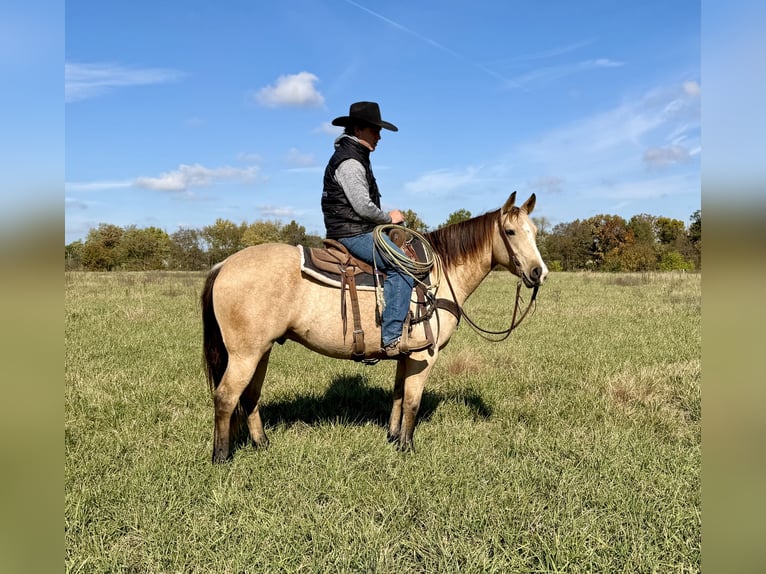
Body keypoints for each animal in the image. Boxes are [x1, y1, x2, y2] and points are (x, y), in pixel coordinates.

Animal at [201, 192, 548, 463]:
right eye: (510, 231)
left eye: (534, 231)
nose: (538, 273)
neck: (438, 275)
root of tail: (223, 265)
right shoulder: (426, 355)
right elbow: (412, 401)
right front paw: (408, 448)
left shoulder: (407, 355)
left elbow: (397, 395)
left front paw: (394, 438)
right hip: (245, 354)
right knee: (226, 397)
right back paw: (221, 456)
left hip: (262, 350)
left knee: (250, 396)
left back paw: (262, 444)